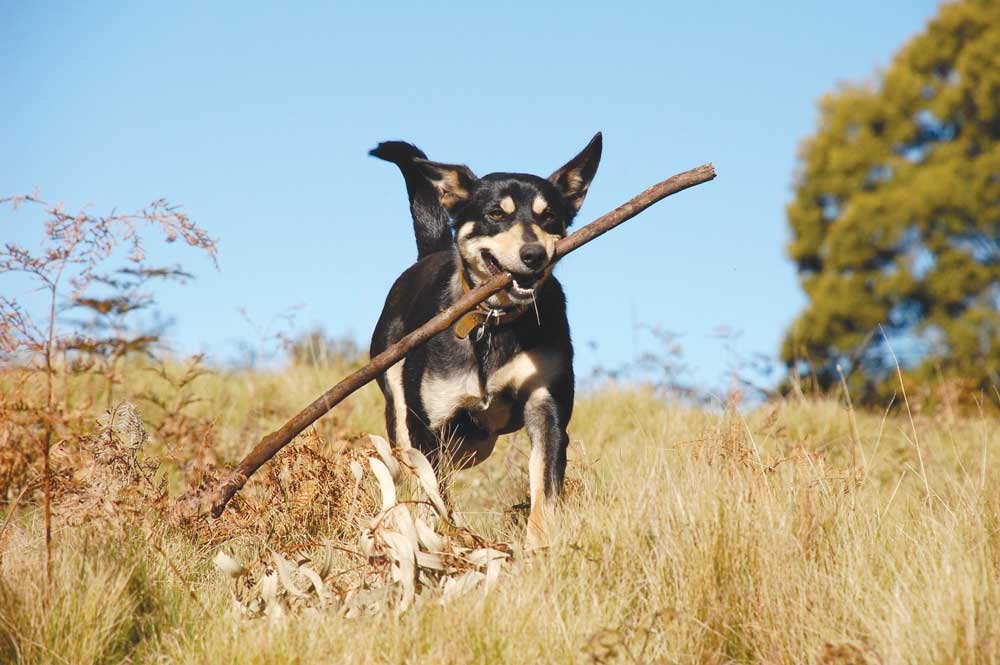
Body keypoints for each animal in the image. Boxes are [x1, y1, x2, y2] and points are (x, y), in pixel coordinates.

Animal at [370, 134, 596, 544]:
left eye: (549, 216)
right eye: (495, 214)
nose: (533, 254)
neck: (493, 323)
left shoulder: (548, 410)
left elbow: (544, 489)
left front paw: (540, 546)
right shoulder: (429, 429)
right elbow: (433, 497)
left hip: (475, 441)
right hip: (401, 410)